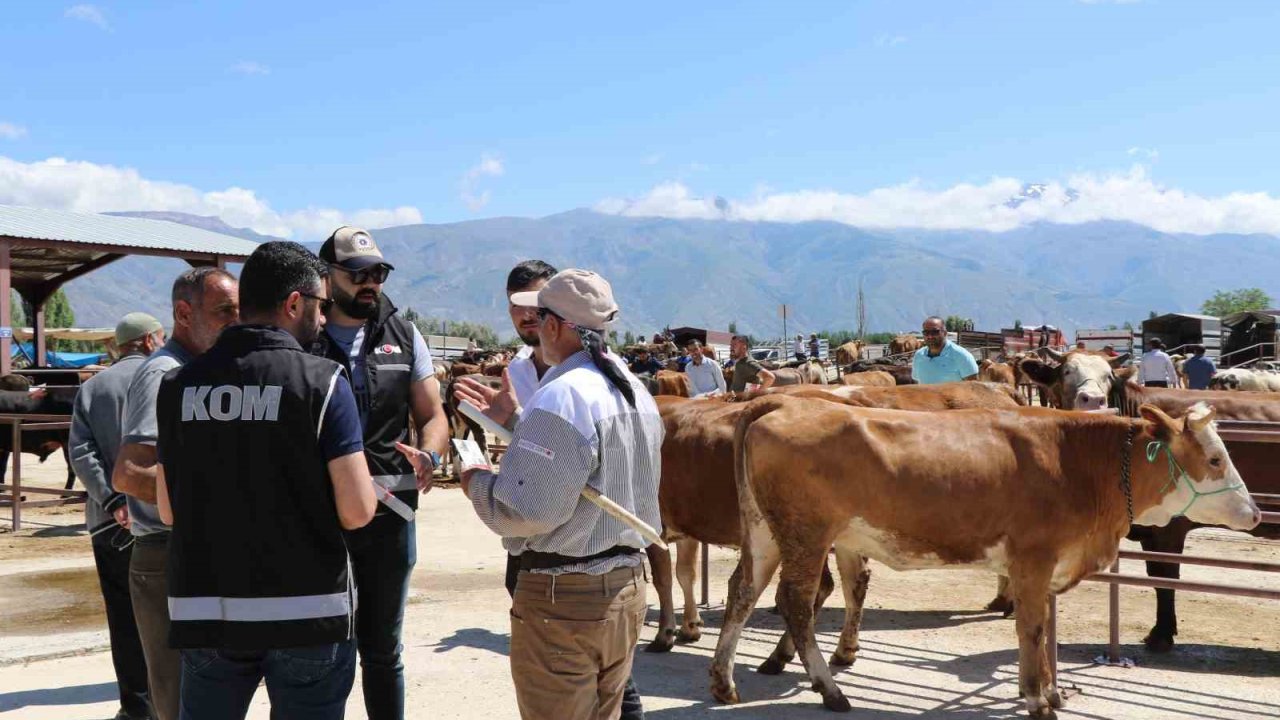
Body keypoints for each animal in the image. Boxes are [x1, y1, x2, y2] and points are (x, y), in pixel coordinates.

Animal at [711, 397, 1259, 712]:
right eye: (1215, 458)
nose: (1255, 512)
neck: (1077, 463)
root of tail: (780, 407)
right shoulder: (1033, 560)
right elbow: (1032, 629)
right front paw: (1039, 698)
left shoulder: (1043, 566)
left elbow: (1041, 630)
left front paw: (1048, 690)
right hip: (805, 534)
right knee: (797, 603)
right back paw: (830, 690)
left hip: (765, 532)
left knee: (743, 592)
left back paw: (723, 683)